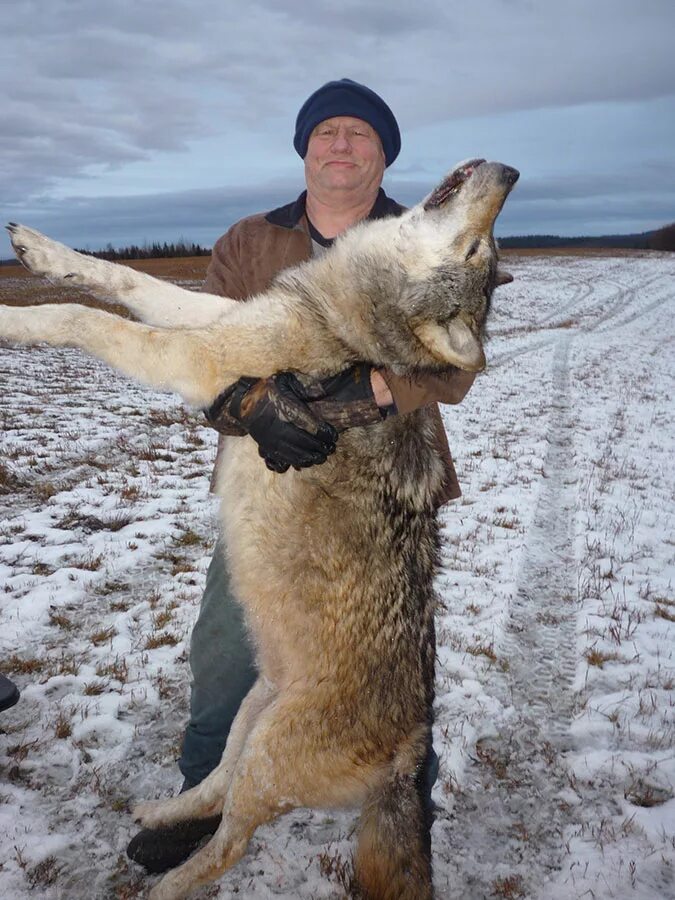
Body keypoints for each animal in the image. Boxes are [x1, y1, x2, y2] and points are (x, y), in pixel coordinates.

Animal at [0, 158, 520, 896]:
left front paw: (7, 320)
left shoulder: (198, 355)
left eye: (481, 251)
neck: (340, 317)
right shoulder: (223, 314)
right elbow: (127, 280)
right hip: (252, 716)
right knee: (214, 789)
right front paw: (40, 250)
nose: (511, 170)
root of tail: (405, 757)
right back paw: (159, 811)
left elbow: (84, 319)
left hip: (269, 755)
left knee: (230, 844)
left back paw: (166, 884)